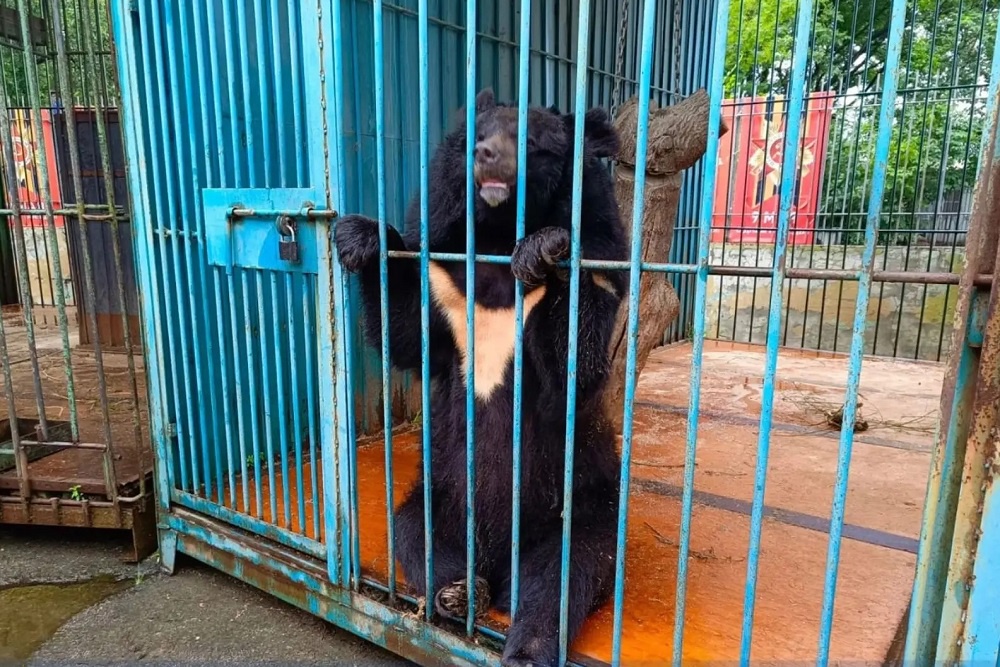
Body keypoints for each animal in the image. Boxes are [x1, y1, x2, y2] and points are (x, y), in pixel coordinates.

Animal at [334, 88, 627, 667]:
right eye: (478, 134)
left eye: (532, 142)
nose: (486, 156)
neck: (493, 242)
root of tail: (497, 558)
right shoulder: (447, 278)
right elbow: (407, 331)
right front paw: (359, 237)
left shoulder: (603, 259)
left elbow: (575, 361)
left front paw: (546, 247)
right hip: (441, 496)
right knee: (418, 536)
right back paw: (458, 592)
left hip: (583, 507)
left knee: (560, 577)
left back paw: (525, 640)